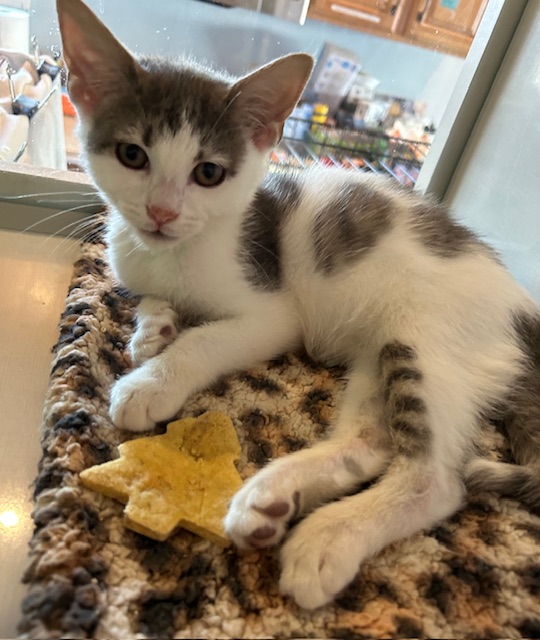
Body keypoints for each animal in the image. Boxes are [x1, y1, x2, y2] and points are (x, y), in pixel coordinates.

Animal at [58, 0, 540, 608]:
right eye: (132, 155)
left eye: (208, 173)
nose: (162, 212)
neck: (178, 248)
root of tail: (523, 309)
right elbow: (151, 295)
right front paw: (152, 329)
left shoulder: (273, 309)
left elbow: (207, 338)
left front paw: (152, 381)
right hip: (380, 353)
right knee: (372, 440)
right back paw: (272, 497)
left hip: (426, 337)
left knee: (435, 480)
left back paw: (329, 536)